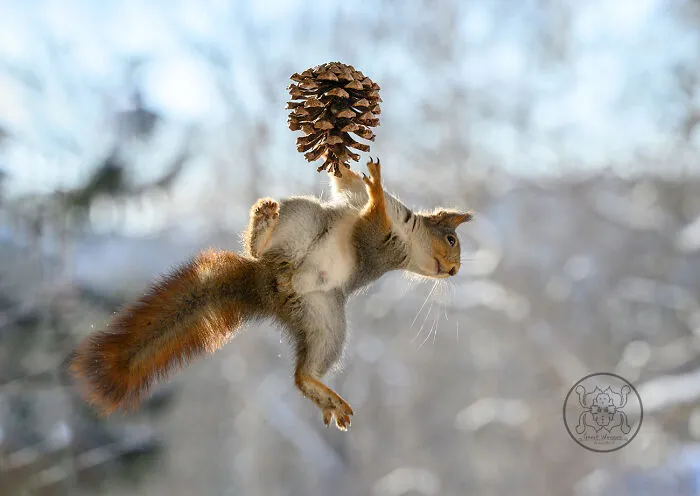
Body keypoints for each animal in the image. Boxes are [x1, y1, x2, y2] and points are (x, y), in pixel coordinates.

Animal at [70, 158, 472, 430]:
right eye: (452, 240)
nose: (454, 271)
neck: (406, 230)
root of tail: (267, 286)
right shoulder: (362, 209)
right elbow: (349, 186)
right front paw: (358, 169)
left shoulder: (378, 244)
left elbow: (371, 219)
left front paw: (374, 184)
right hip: (303, 221)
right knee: (263, 247)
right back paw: (262, 227)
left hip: (324, 320)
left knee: (302, 372)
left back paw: (321, 392)